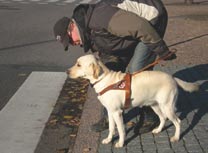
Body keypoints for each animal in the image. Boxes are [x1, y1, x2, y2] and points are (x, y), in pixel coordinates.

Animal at [67, 54, 199, 148]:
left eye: (78, 65)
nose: (67, 71)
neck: (104, 80)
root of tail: (172, 78)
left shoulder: (117, 112)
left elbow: (121, 130)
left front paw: (120, 143)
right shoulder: (110, 111)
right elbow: (111, 128)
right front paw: (109, 139)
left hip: (167, 107)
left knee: (178, 121)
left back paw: (176, 137)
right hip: (155, 105)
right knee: (162, 118)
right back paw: (158, 130)